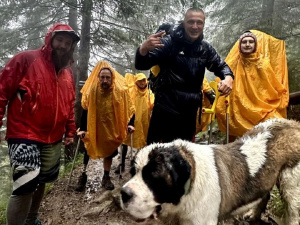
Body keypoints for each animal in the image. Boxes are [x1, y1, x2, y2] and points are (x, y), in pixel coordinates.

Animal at [120, 118, 300, 224]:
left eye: (153, 176)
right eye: (133, 172)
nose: (124, 193)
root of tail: (293, 123)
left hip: (291, 184)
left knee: (293, 210)